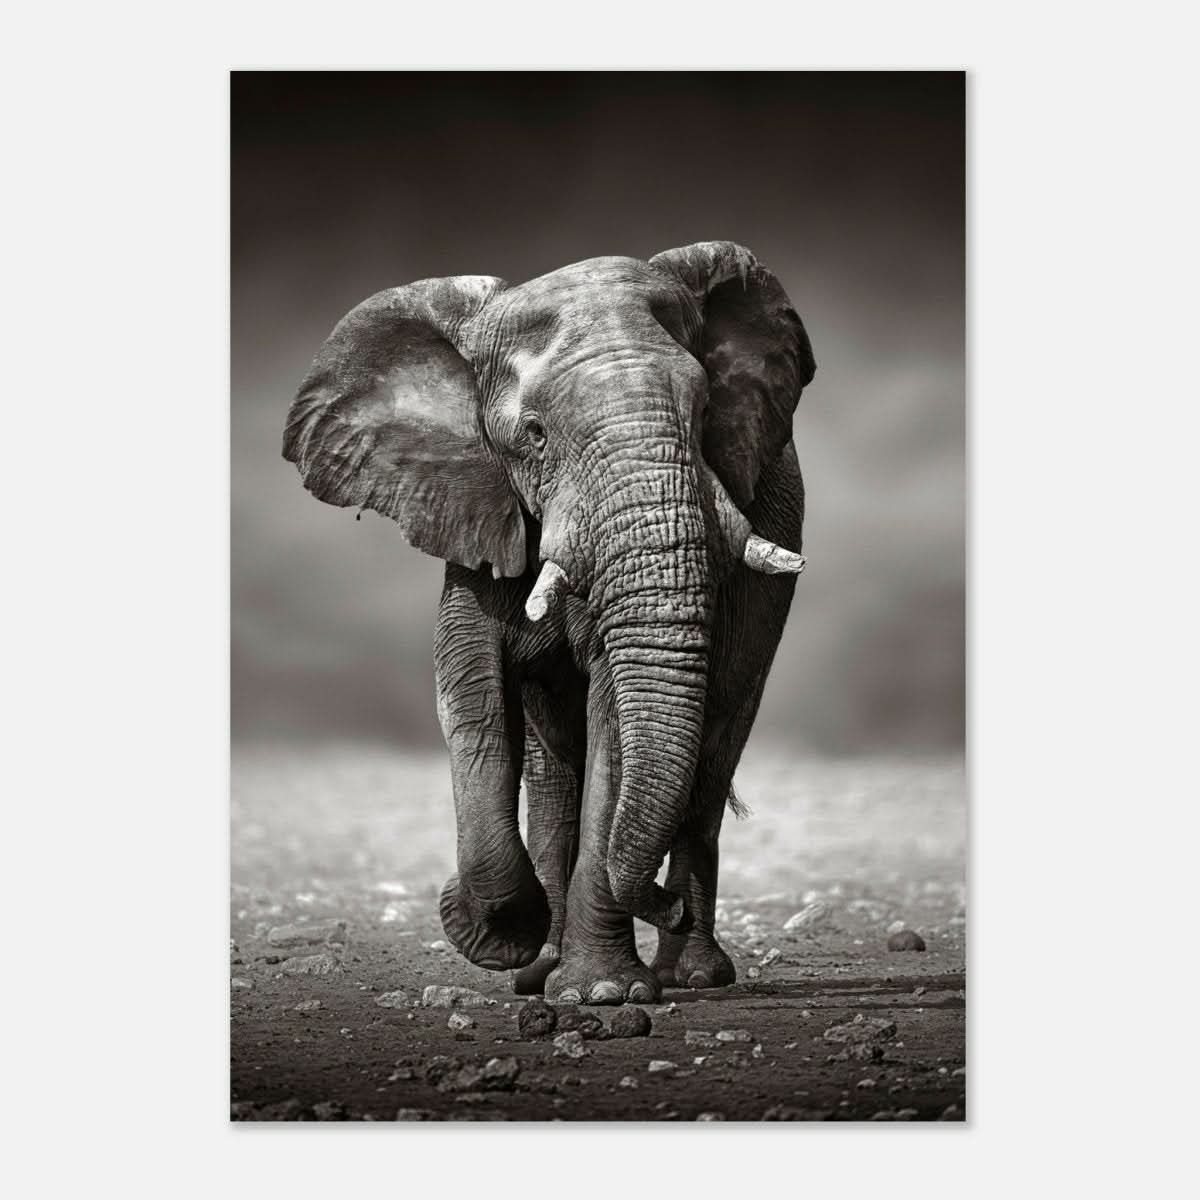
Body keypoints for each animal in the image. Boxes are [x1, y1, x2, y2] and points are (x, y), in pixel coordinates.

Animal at [283, 241, 815, 1005]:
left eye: (706, 410)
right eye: (533, 436)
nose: (662, 904)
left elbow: (614, 717)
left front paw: (604, 994)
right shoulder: (475, 506)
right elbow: (470, 693)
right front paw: (499, 935)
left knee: (713, 751)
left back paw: (690, 974)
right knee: (555, 772)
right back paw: (542, 969)